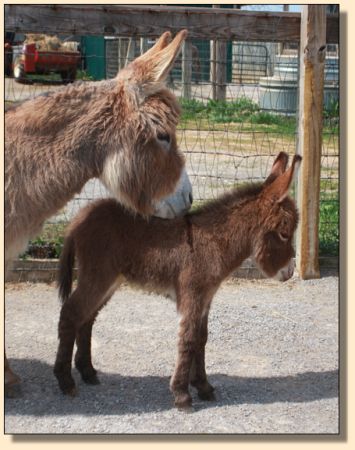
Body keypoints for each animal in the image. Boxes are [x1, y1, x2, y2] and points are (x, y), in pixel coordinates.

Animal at [56, 153, 304, 410]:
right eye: (284, 234)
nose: (289, 273)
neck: (216, 243)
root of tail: (80, 216)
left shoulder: (206, 298)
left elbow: (202, 339)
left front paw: (203, 386)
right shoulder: (192, 296)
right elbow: (188, 339)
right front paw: (182, 394)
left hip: (109, 280)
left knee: (87, 318)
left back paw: (87, 372)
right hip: (98, 276)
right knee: (71, 313)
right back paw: (65, 381)